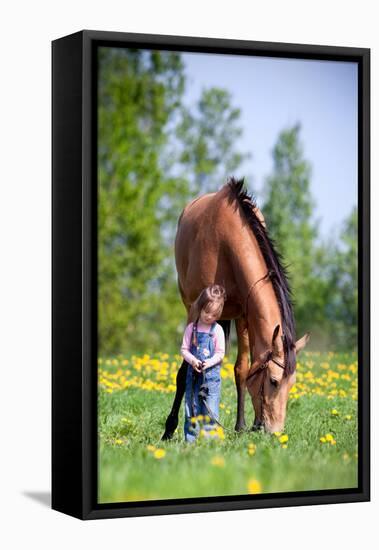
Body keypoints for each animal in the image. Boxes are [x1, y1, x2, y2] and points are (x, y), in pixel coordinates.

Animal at [162, 179, 310, 442]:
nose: (275, 431)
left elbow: (242, 369)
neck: (227, 243)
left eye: (292, 384)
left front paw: (244, 425)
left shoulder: (244, 313)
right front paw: (170, 429)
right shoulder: (195, 307)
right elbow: (185, 370)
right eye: (273, 381)